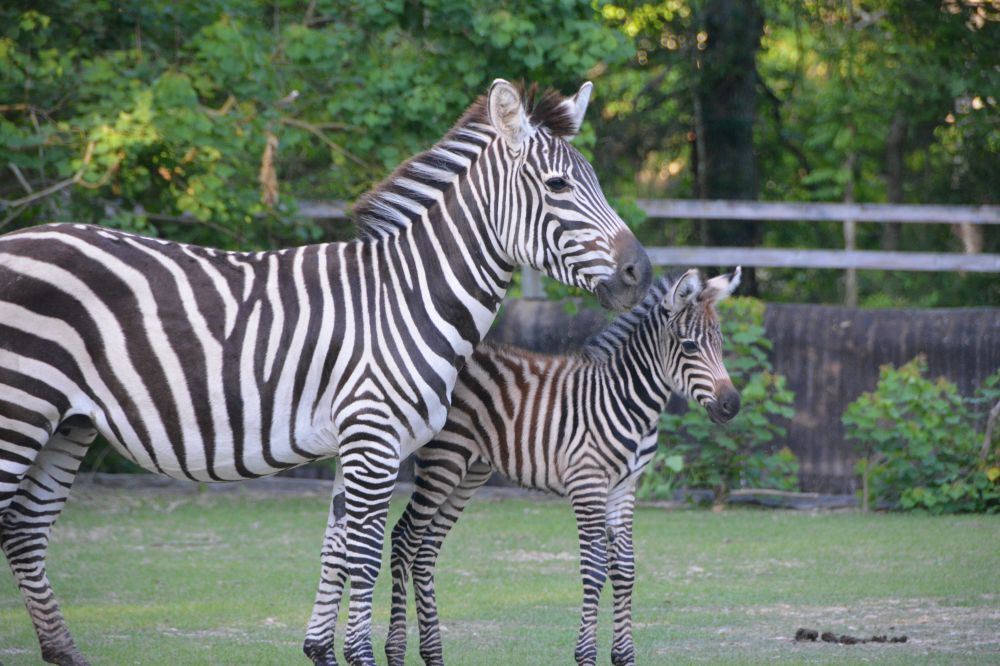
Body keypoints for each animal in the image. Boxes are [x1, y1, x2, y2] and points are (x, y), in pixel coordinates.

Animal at [0, 79, 652, 666]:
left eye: (594, 181)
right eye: (558, 185)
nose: (640, 273)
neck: (405, 296)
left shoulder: (356, 440)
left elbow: (335, 549)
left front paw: (321, 649)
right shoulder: (374, 437)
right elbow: (362, 552)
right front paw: (360, 654)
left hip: (69, 423)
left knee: (28, 528)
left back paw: (65, 653)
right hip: (21, 408)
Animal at [386, 268, 741, 666]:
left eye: (720, 344)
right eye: (690, 347)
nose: (732, 405)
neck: (627, 400)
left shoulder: (625, 486)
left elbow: (625, 568)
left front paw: (623, 656)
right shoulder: (587, 484)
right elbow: (594, 567)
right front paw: (585, 654)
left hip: (470, 470)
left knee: (426, 549)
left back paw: (433, 653)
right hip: (443, 460)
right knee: (405, 540)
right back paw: (396, 651)